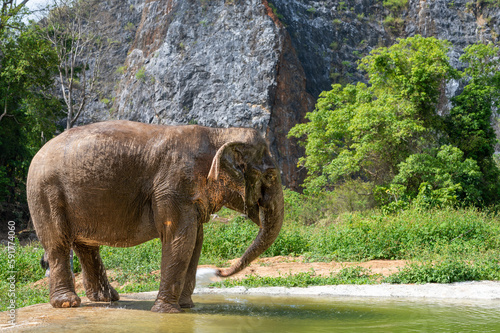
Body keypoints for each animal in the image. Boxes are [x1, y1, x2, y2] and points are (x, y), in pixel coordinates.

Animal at [27, 120, 284, 312]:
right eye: (271, 176)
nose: (219, 272)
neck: (219, 133)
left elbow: (196, 241)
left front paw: (186, 307)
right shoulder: (172, 187)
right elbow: (180, 239)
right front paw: (167, 311)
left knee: (86, 247)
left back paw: (107, 299)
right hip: (46, 193)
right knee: (58, 244)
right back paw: (68, 303)